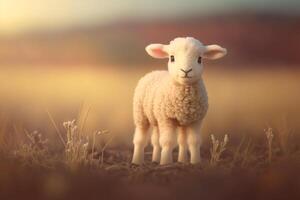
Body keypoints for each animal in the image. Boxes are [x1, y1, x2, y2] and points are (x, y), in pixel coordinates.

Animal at [132, 36, 226, 165]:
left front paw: (195, 162)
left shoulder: (196, 120)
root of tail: (155, 71)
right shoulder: (167, 118)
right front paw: (165, 163)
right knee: (140, 139)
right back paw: (136, 161)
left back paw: (162, 159)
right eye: (172, 58)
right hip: (141, 115)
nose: (186, 71)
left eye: (200, 59)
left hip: (163, 119)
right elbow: (167, 142)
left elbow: (194, 141)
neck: (184, 100)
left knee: (160, 140)